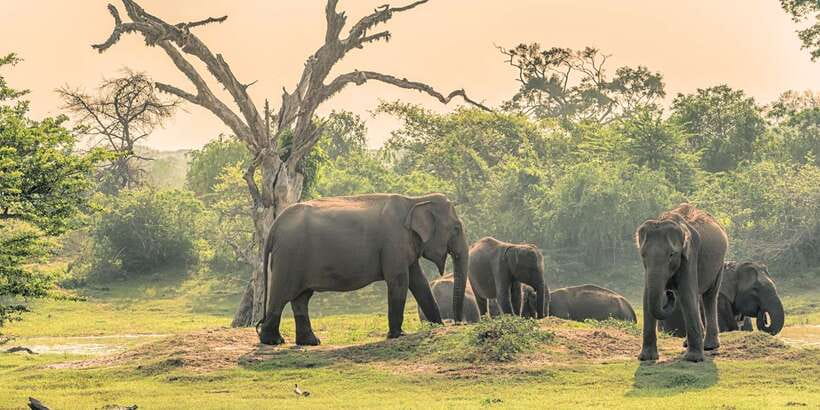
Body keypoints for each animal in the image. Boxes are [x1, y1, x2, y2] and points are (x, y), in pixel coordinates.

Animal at [257, 193, 469, 345]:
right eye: (457, 228)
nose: (458, 323)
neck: (415, 200)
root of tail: (275, 226)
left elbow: (419, 282)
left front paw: (438, 326)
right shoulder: (393, 242)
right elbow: (399, 280)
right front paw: (398, 335)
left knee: (301, 298)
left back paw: (311, 342)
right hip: (289, 257)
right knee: (282, 295)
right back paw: (273, 341)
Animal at [635, 203, 729, 362]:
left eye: (672, 255)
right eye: (643, 255)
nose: (669, 293)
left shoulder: (691, 254)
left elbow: (686, 293)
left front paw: (693, 359)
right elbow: (646, 296)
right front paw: (646, 358)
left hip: (719, 264)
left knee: (709, 296)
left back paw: (709, 346)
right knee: (695, 297)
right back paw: (688, 343)